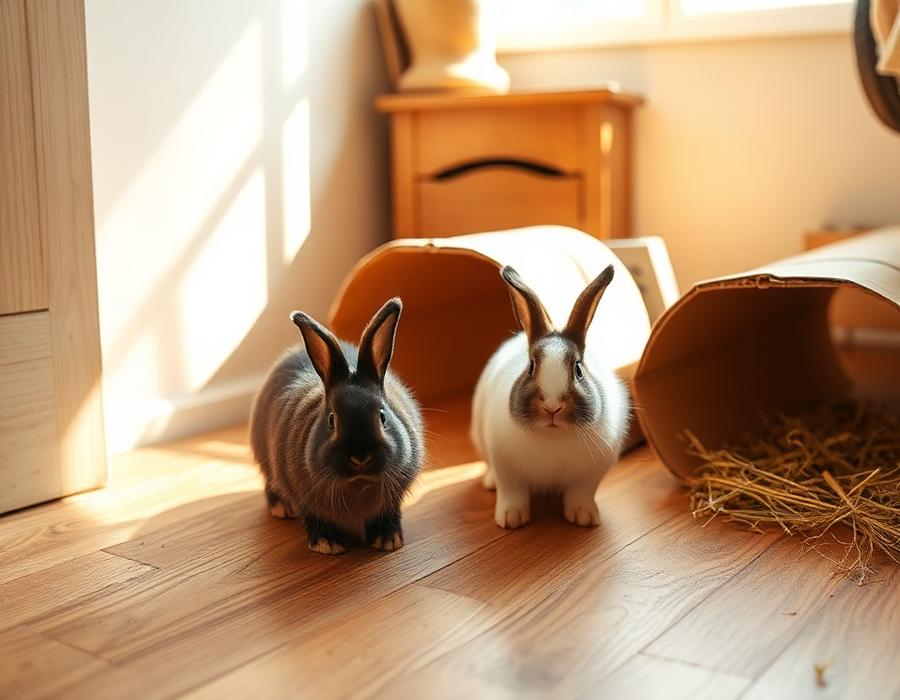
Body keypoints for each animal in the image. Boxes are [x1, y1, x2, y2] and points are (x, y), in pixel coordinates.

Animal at [250, 298, 424, 555]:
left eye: (382, 416)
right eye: (332, 420)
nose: (360, 456)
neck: (358, 482)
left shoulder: (391, 500)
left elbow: (387, 514)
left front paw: (388, 540)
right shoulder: (307, 498)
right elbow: (316, 518)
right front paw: (328, 545)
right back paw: (282, 507)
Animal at [471, 265, 630, 530]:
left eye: (578, 369)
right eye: (531, 367)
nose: (552, 407)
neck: (552, 436)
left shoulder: (589, 476)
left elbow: (581, 495)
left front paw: (584, 517)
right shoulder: (508, 471)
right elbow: (512, 494)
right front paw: (511, 519)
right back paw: (490, 482)